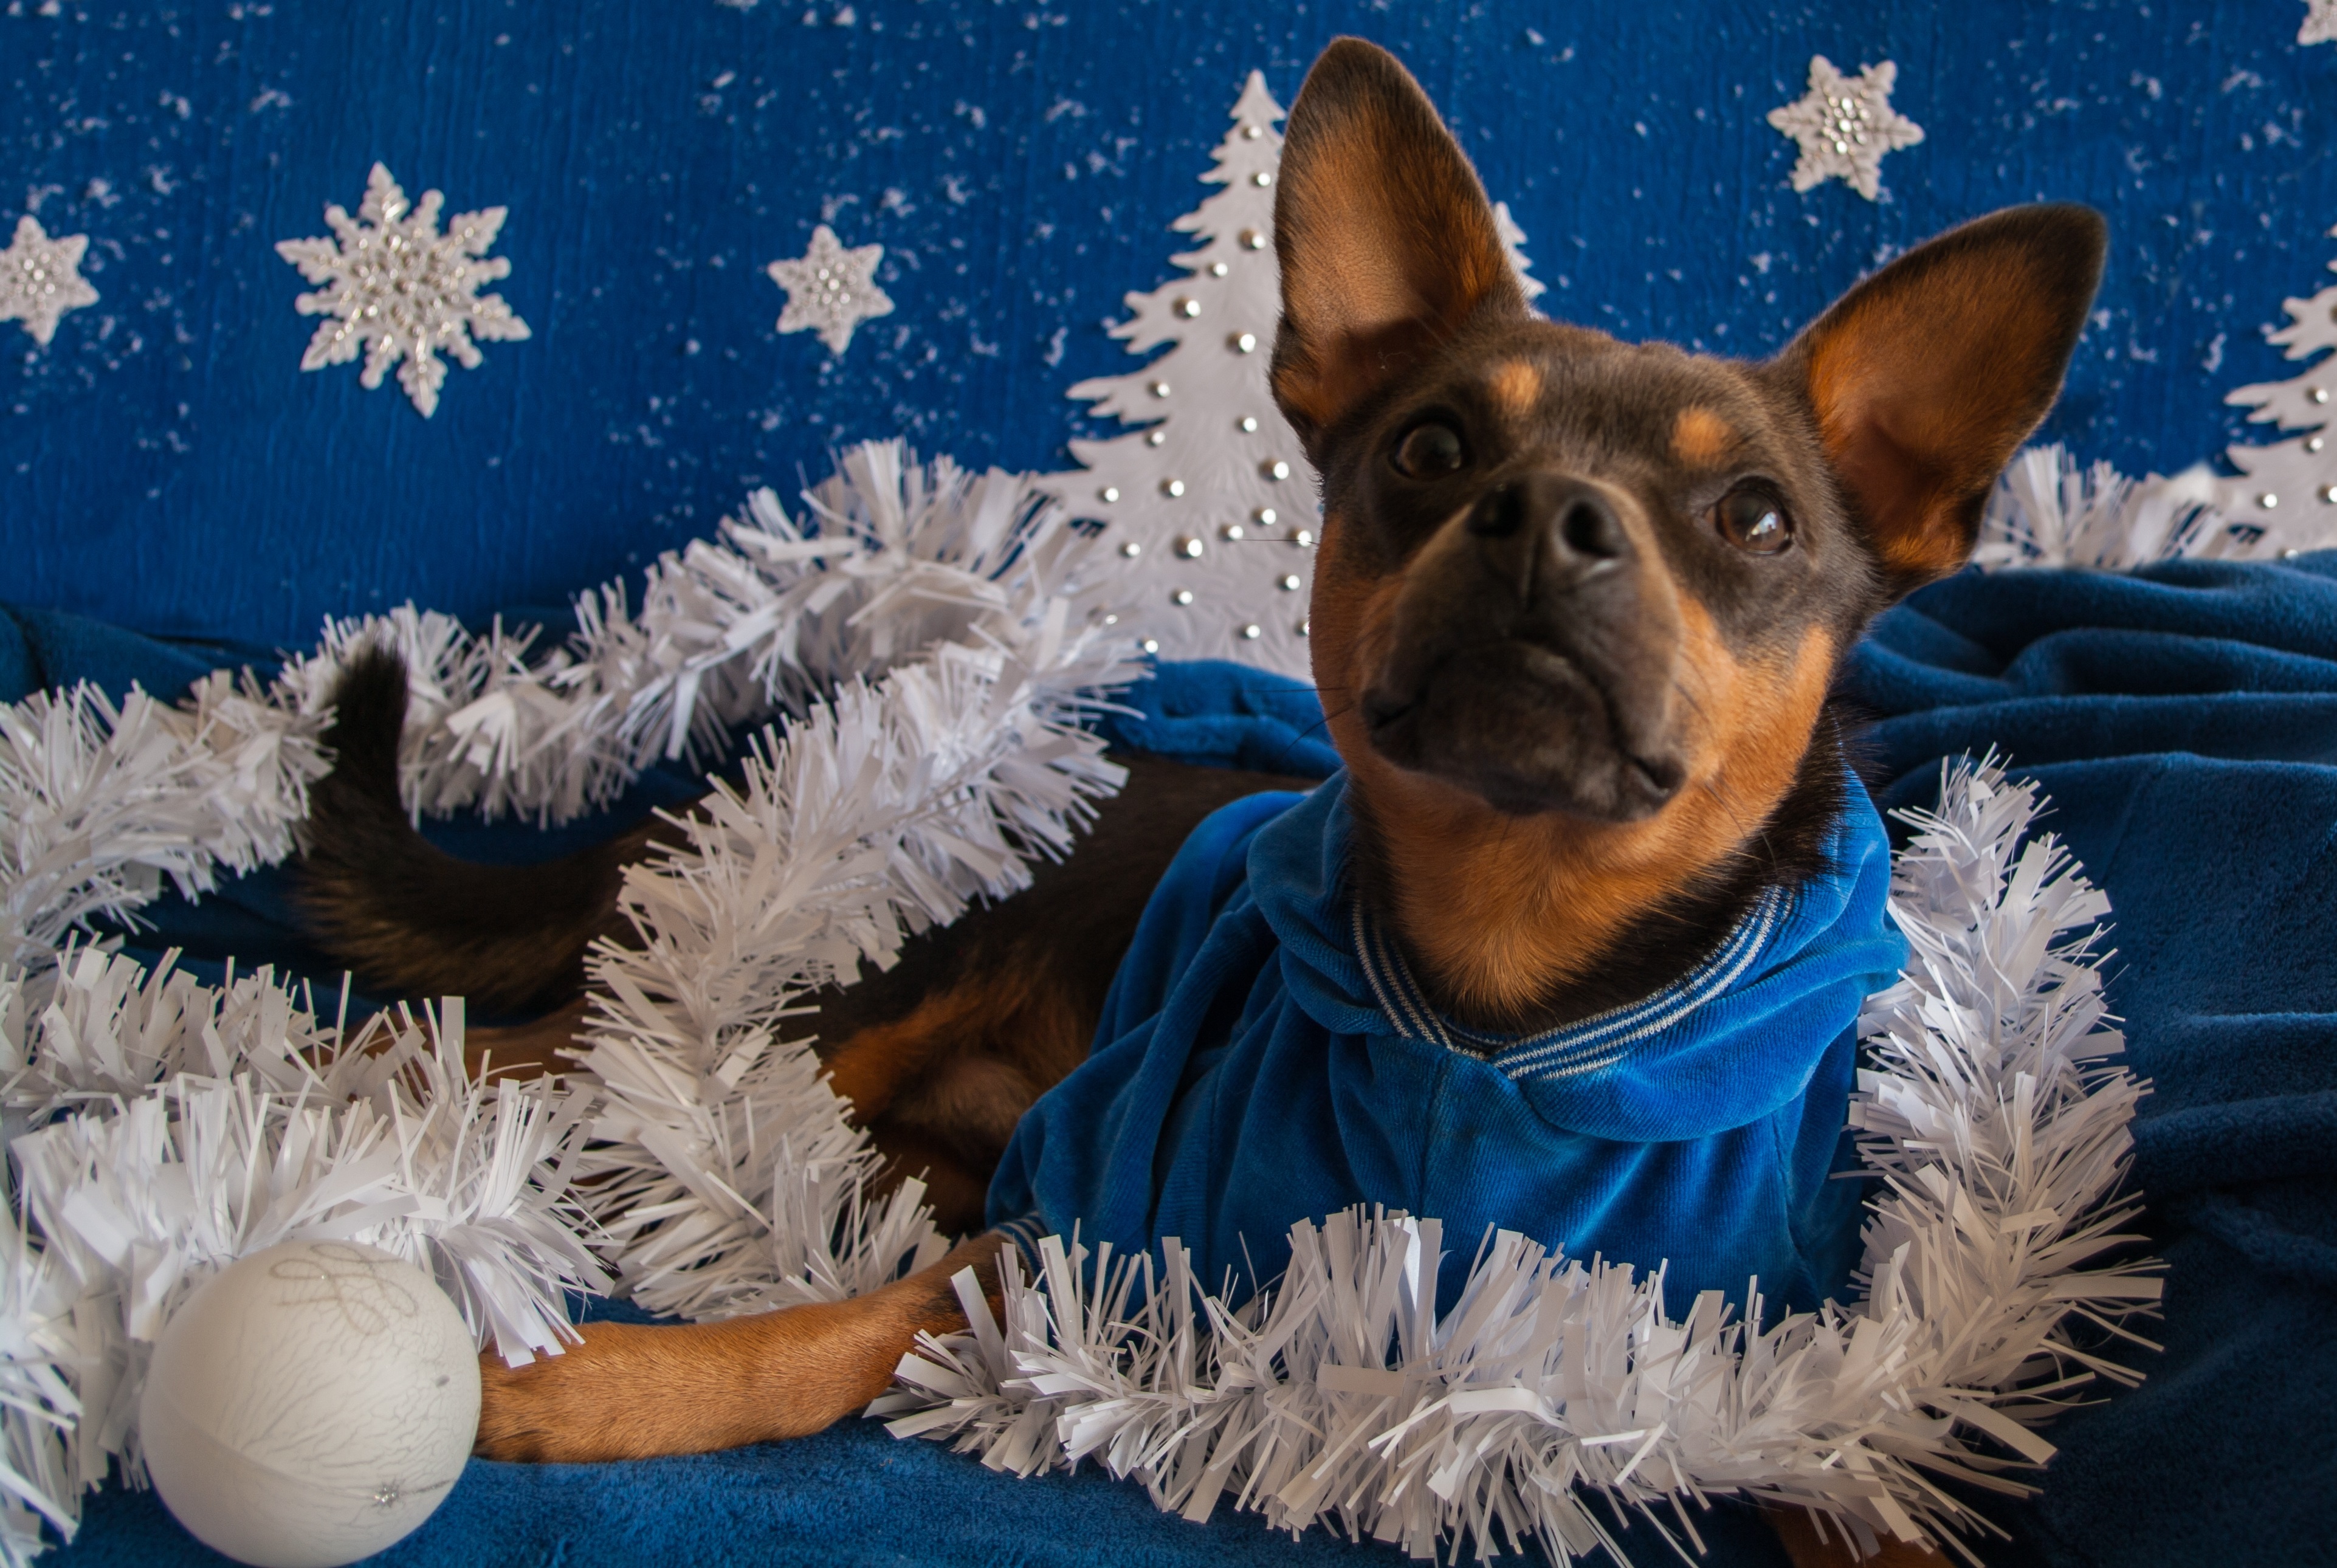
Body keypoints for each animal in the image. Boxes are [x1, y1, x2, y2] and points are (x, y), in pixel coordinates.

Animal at [292, 36, 2103, 1568]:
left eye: (1755, 518)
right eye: (1431, 449)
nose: (1546, 517)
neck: (1499, 1002)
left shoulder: (1764, 1364)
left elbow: (1855, 1476)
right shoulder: (1077, 1230)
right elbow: (822, 1340)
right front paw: (589, 1391)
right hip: (867, 975)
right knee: (522, 1040)